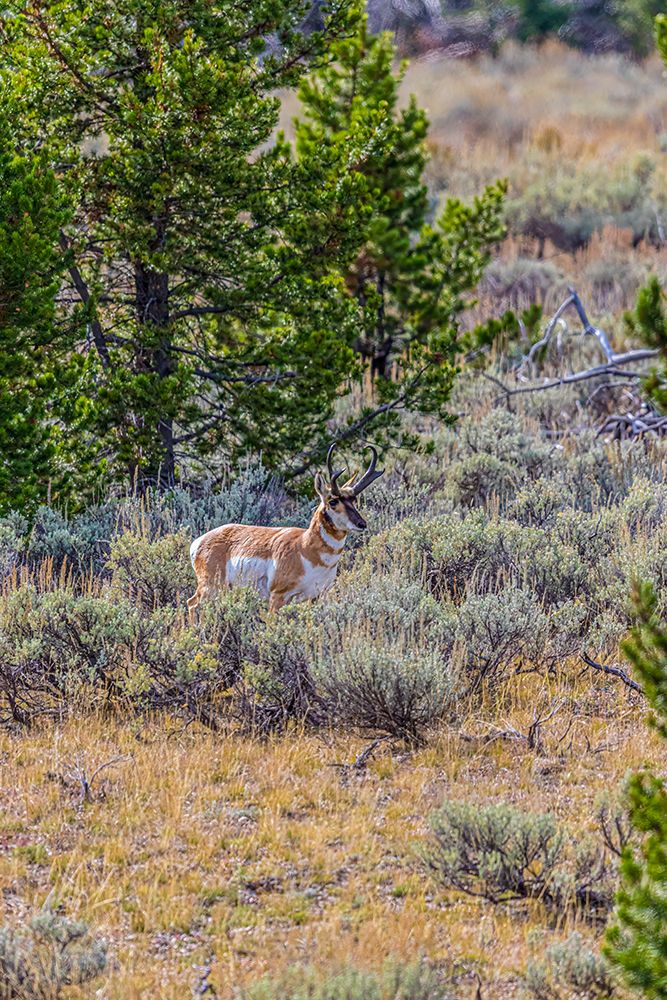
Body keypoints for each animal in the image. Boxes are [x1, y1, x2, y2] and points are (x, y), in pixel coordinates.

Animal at [187, 444, 384, 614]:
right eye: (333, 501)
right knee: (192, 603)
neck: (304, 546)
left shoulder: (316, 597)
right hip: (211, 587)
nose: (361, 524)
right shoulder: (277, 596)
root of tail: (199, 541)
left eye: (354, 499)